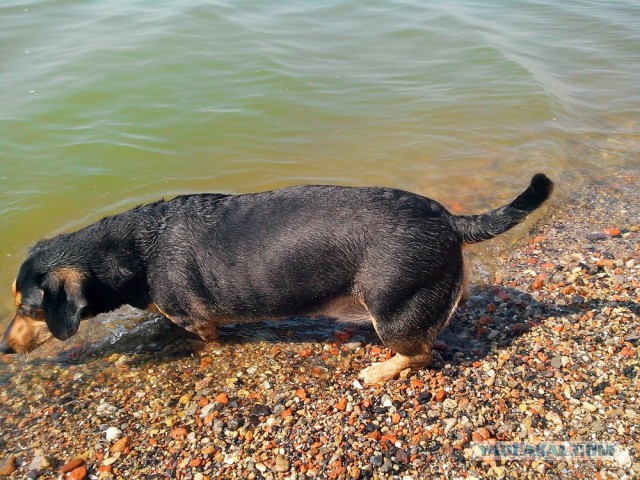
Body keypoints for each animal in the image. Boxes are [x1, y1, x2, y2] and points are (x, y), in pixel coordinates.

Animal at [0, 174, 552, 384]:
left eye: (28, 309)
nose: (4, 348)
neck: (134, 249)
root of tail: (450, 221)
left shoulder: (199, 321)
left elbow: (203, 339)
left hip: (392, 309)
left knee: (417, 354)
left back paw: (378, 370)